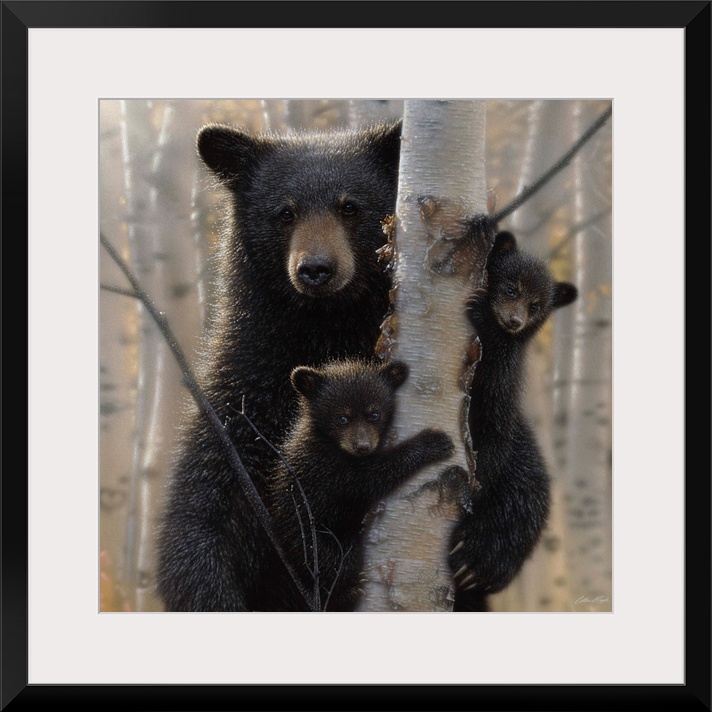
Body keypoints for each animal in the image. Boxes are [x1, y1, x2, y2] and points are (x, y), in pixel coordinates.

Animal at [156, 122, 403, 611]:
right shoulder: (242, 402)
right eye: (284, 213)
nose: (316, 269)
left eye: (350, 207)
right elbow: (200, 522)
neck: (325, 332)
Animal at [257, 358, 454, 611]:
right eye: (342, 418)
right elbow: (368, 478)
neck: (328, 441)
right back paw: (347, 591)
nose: (362, 446)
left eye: (374, 414)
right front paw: (433, 442)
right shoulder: (325, 467)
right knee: (333, 561)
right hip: (310, 538)